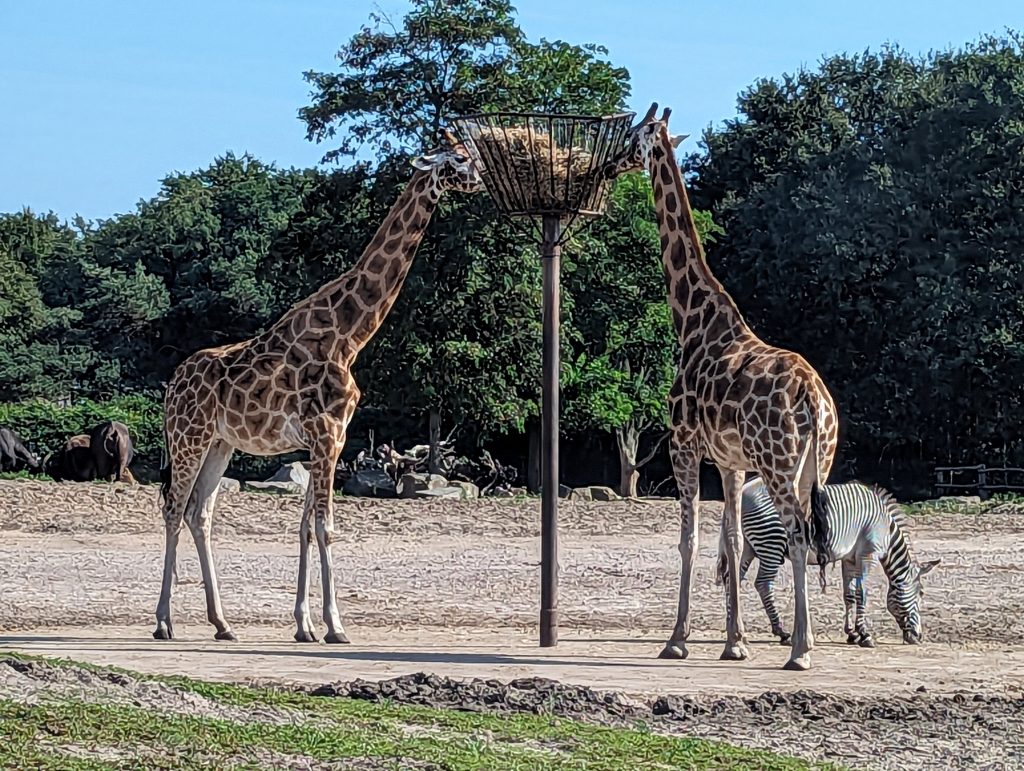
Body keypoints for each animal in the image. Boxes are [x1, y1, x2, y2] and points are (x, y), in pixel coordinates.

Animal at [153, 133, 483, 644]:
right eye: (460, 158)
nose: (484, 178)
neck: (349, 335)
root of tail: (172, 386)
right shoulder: (326, 433)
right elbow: (327, 527)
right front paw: (335, 626)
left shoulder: (330, 438)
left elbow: (306, 527)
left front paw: (304, 625)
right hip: (188, 436)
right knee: (173, 508)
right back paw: (164, 621)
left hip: (220, 443)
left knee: (198, 514)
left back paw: (223, 623)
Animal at [606, 104, 839, 670]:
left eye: (632, 136)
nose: (609, 165)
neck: (691, 318)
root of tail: (813, 400)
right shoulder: (732, 462)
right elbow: (730, 541)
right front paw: (735, 642)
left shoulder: (683, 445)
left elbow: (688, 539)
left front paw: (677, 639)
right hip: (814, 466)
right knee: (812, 536)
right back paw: (806, 640)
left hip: (779, 465)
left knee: (798, 534)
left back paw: (800, 650)